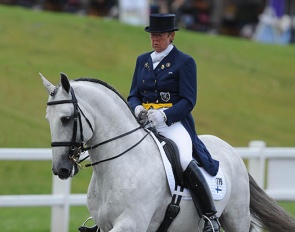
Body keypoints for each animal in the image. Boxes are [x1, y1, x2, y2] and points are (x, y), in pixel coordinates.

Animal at [41, 73, 295, 232]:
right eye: (48, 119)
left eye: (66, 118)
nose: (61, 168)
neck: (119, 165)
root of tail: (230, 150)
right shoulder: (105, 226)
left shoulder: (130, 224)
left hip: (236, 218)